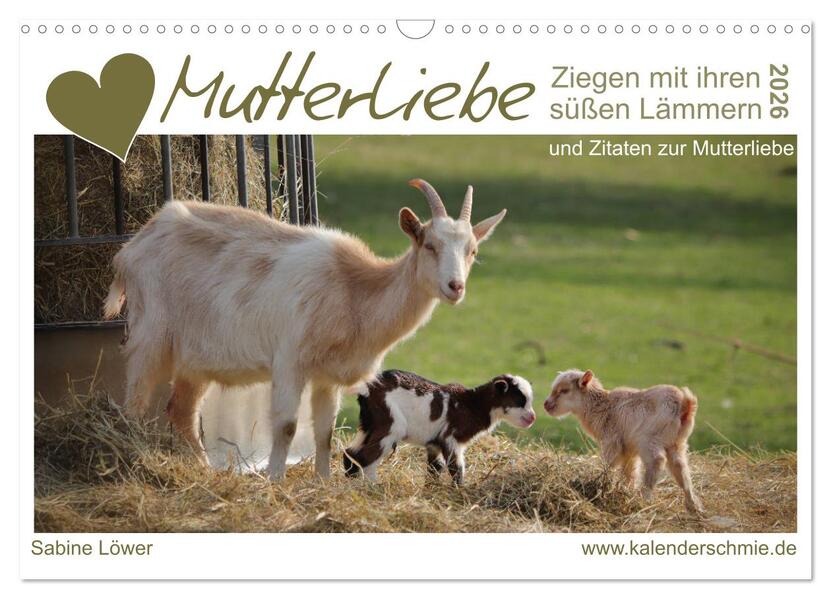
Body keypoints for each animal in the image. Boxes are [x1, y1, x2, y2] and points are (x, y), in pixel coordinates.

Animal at [103, 179, 506, 480]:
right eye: (430, 244)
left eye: (472, 250)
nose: (455, 287)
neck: (354, 289)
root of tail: (132, 248)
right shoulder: (289, 361)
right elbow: (286, 425)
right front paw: (275, 480)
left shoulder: (327, 375)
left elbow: (324, 431)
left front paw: (324, 482)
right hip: (150, 335)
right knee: (134, 404)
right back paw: (130, 461)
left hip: (195, 358)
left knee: (181, 410)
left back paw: (204, 471)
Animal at [344, 370, 535, 484]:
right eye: (520, 401)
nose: (532, 417)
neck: (473, 404)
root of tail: (366, 390)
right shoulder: (450, 438)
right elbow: (456, 469)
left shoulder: (433, 444)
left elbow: (435, 469)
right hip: (390, 424)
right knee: (366, 458)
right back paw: (372, 489)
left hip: (369, 424)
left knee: (350, 454)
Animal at [543, 369, 702, 513]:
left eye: (564, 390)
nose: (546, 405)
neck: (601, 407)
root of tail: (685, 405)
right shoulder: (628, 449)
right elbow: (630, 472)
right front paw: (625, 490)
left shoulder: (611, 442)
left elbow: (609, 465)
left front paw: (601, 484)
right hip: (676, 443)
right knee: (680, 467)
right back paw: (693, 506)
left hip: (649, 438)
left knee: (657, 461)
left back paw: (644, 498)